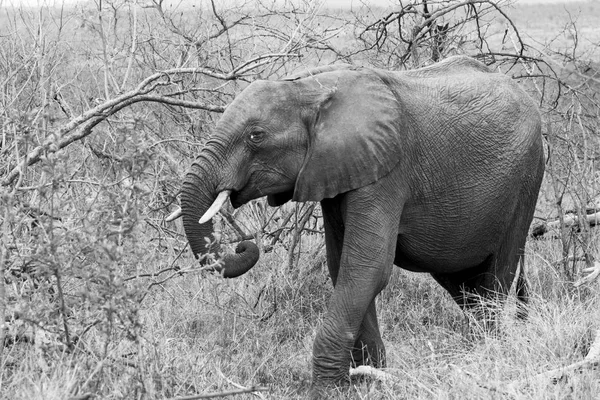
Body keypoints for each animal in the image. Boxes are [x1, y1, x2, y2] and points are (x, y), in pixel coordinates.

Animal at [169, 56, 544, 396]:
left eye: (255, 136)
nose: (244, 245)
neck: (309, 89)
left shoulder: (385, 172)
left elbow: (365, 269)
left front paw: (328, 390)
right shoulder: (338, 173)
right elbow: (342, 267)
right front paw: (369, 380)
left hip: (526, 179)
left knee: (497, 275)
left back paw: (491, 353)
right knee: (465, 285)